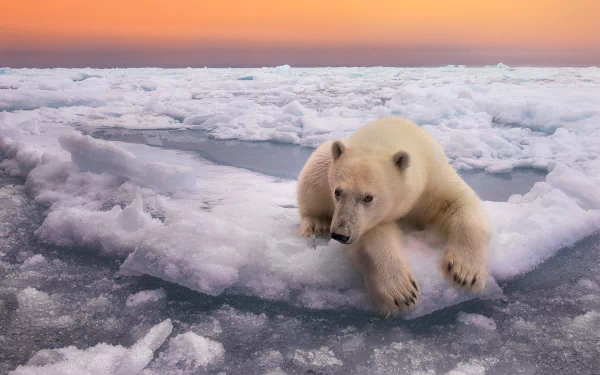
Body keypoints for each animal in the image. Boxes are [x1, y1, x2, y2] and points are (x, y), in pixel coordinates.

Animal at [298, 117, 490, 318]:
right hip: (323, 164)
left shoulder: (434, 178)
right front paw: (402, 292)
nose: (340, 234)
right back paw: (316, 223)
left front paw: (464, 273)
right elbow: (373, 236)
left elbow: (459, 203)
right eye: (337, 191)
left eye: (368, 197)